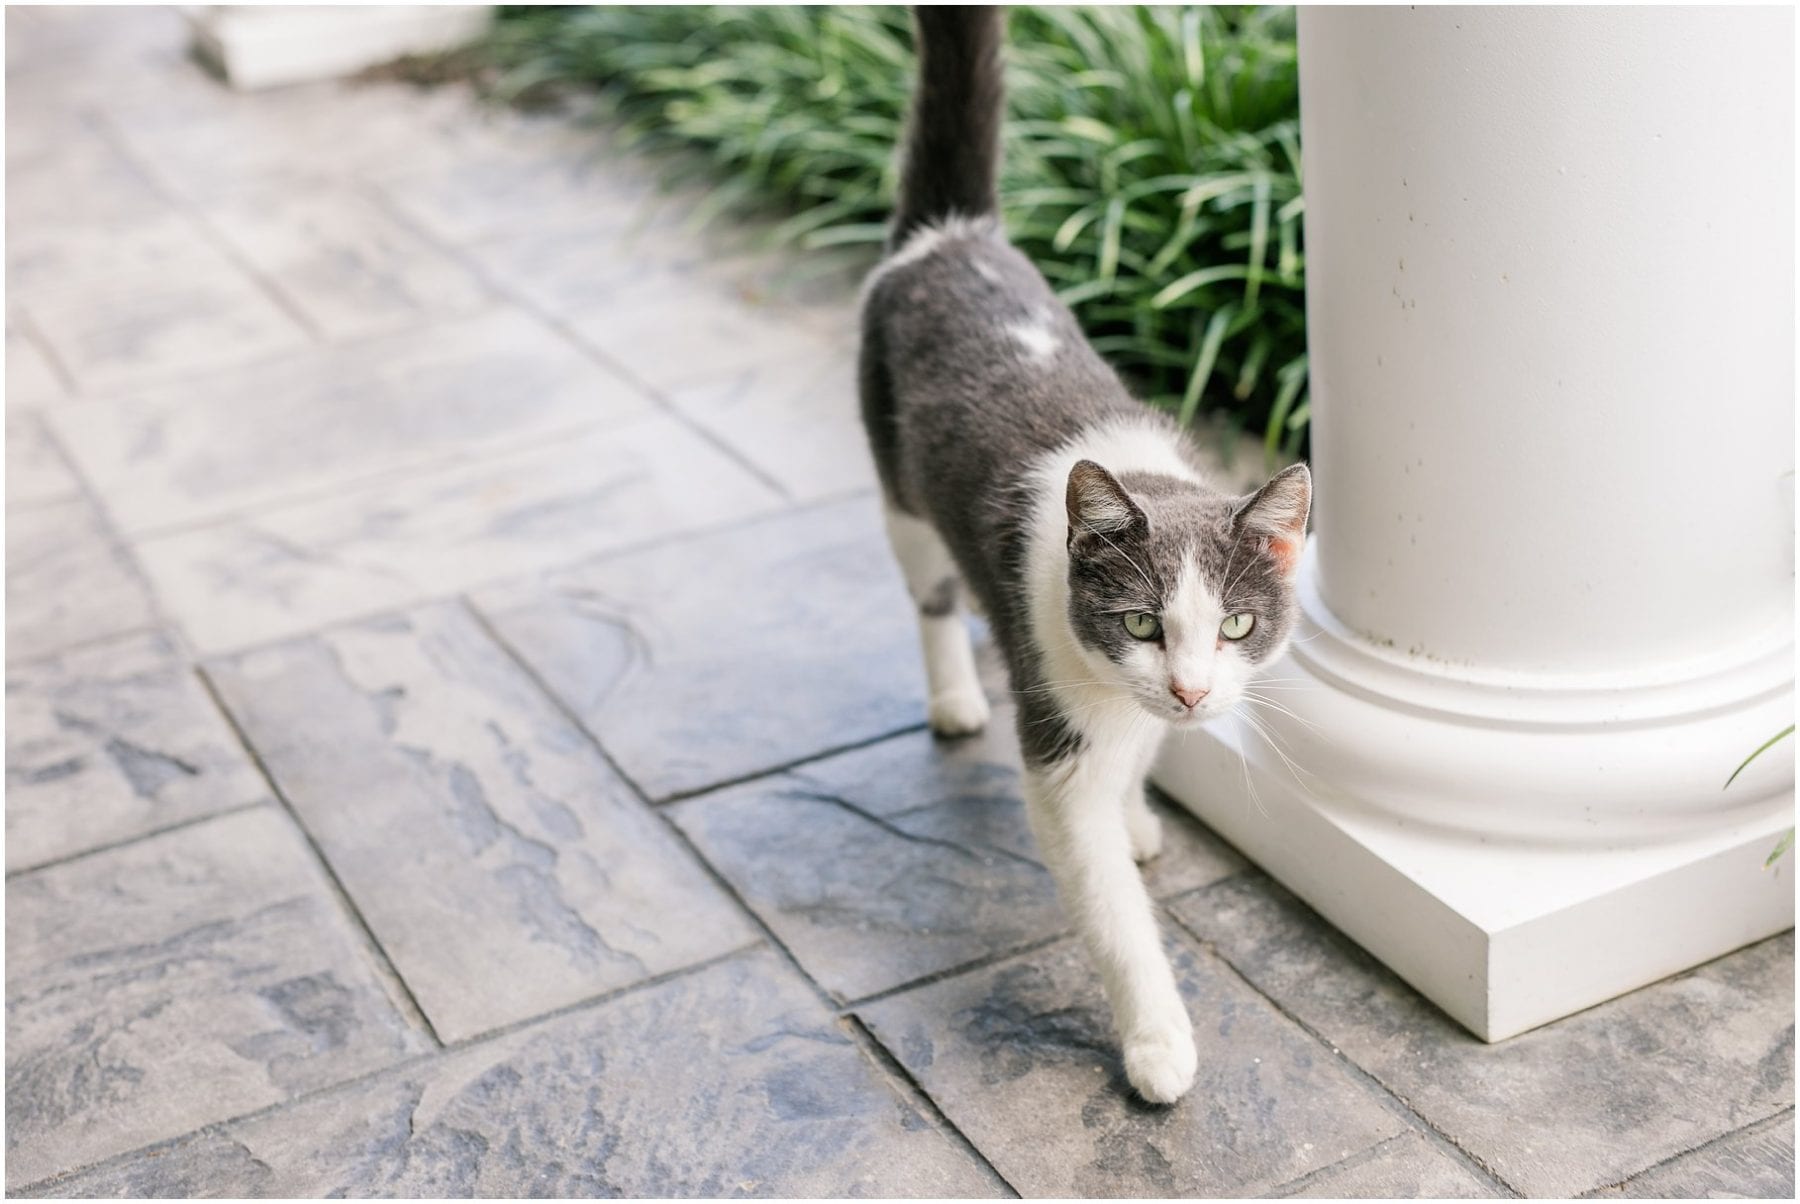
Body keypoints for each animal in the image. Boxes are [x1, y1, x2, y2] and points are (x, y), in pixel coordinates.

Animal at [856, 4, 1310, 1101]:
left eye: (1238, 624)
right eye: (1140, 620)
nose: (1189, 689)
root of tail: (948, 234)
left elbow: (1139, 761)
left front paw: (1142, 812)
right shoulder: (1055, 719)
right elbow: (1105, 902)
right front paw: (1158, 1044)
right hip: (901, 496)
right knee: (930, 593)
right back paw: (953, 699)